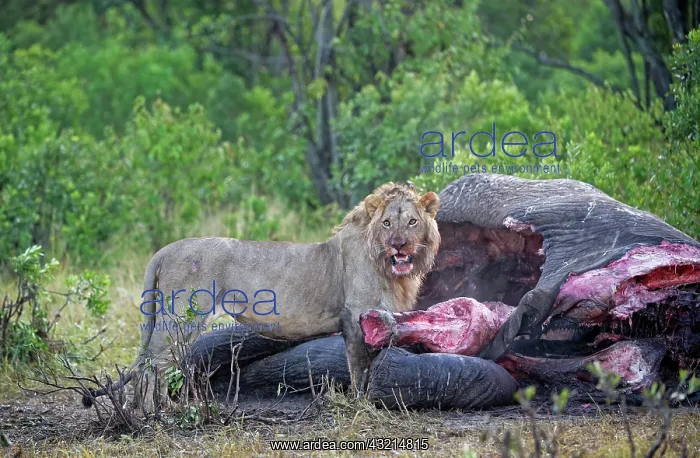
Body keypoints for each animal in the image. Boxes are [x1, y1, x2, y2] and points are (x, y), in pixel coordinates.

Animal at [82, 182, 440, 411]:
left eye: (412, 222)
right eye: (387, 223)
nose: (399, 245)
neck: (388, 268)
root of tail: (166, 249)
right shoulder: (353, 315)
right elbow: (359, 365)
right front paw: (360, 402)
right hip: (181, 319)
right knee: (151, 366)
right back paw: (152, 415)